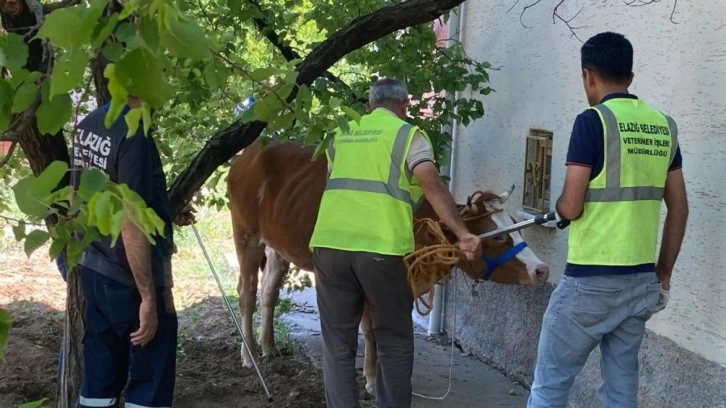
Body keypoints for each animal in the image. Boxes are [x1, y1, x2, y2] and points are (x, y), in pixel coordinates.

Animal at [229, 139, 552, 394]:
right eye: (498, 236)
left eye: (515, 224)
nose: (542, 270)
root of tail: (249, 151)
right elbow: (371, 330)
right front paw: (373, 381)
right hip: (246, 235)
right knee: (247, 293)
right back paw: (248, 356)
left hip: (277, 245)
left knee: (269, 292)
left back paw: (268, 347)